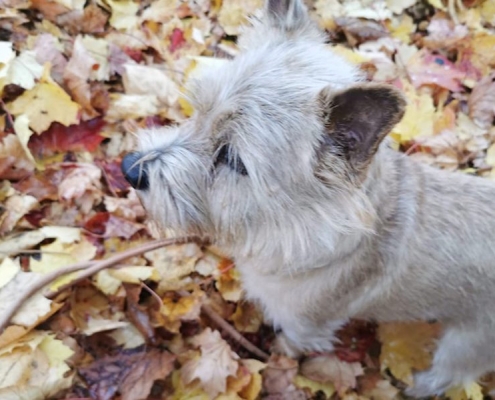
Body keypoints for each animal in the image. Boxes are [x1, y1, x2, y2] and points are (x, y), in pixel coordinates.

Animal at [122, 0, 495, 394]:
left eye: (232, 159)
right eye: (197, 110)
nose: (129, 169)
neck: (291, 225)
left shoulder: (305, 327)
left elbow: (290, 345)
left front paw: (278, 358)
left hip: (466, 345)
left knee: (448, 374)